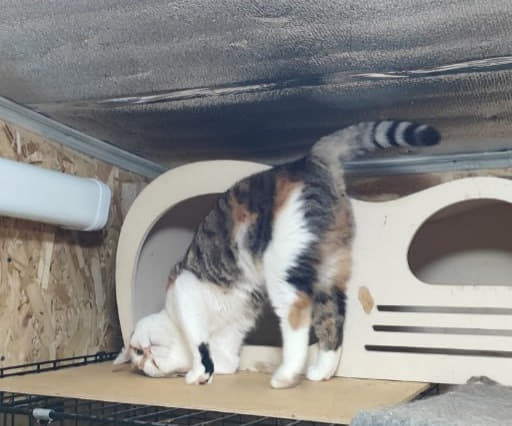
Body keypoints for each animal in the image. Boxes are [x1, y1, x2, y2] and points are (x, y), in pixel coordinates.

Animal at [114, 120, 440, 388]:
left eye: (141, 354)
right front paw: (208, 370)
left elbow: (198, 344)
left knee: (297, 311)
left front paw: (197, 373)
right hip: (330, 269)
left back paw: (285, 375)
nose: (144, 352)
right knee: (332, 320)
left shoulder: (185, 291)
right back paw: (321, 370)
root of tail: (309, 159)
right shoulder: (231, 335)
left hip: (282, 263)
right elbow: (224, 360)